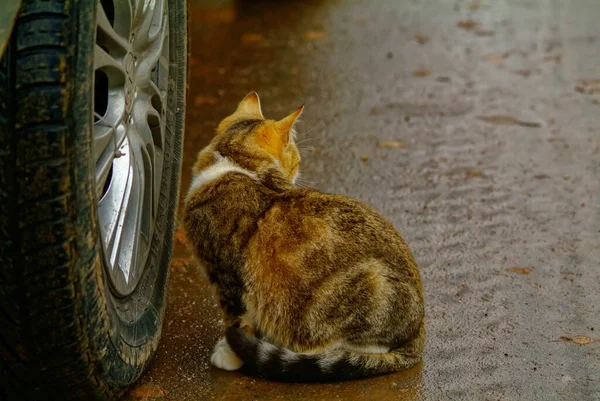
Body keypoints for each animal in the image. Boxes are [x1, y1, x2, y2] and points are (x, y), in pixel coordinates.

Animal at [185, 91, 424, 382]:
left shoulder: (228, 278)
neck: (237, 163)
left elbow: (237, 319)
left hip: (360, 289)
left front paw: (231, 353)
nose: (297, 175)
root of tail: (418, 333)